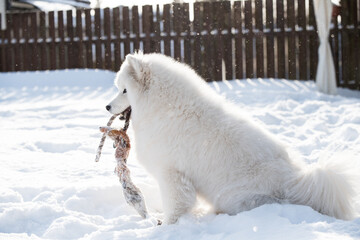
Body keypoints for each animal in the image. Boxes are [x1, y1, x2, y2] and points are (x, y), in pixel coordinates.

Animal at [106, 52, 354, 223]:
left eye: (124, 90)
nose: (107, 106)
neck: (165, 108)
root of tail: (297, 183)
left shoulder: (171, 174)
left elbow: (175, 206)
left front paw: (166, 226)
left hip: (231, 195)